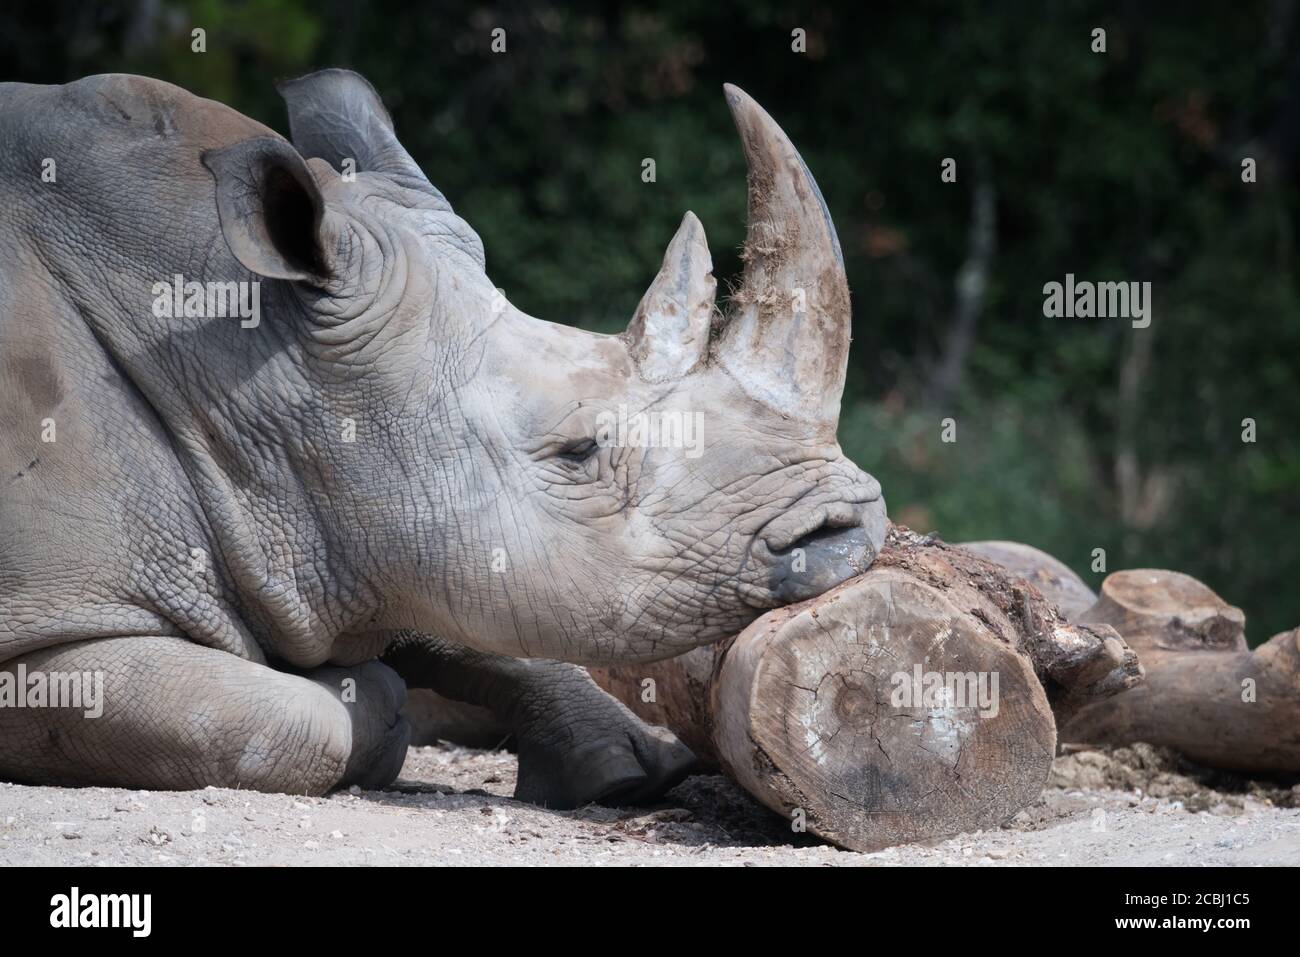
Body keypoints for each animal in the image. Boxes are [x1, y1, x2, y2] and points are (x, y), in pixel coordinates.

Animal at [0, 69, 886, 806]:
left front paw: (629, 766)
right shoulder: (47, 629)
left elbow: (454, 607)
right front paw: (375, 708)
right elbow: (286, 716)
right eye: (579, 452)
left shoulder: (361, 532)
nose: (851, 530)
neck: (242, 369)